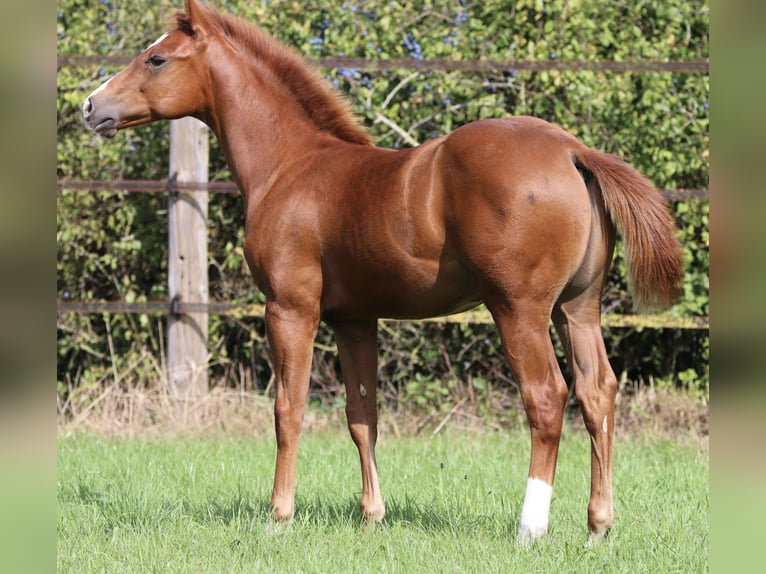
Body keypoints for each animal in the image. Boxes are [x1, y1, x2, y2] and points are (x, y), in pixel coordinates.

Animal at [82, 0, 683, 544]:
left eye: (156, 58)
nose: (90, 106)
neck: (288, 167)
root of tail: (572, 150)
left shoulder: (291, 309)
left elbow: (288, 409)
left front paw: (279, 516)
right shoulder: (354, 320)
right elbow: (361, 414)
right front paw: (373, 515)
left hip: (519, 309)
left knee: (547, 396)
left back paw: (530, 528)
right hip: (577, 308)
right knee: (597, 393)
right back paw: (598, 527)